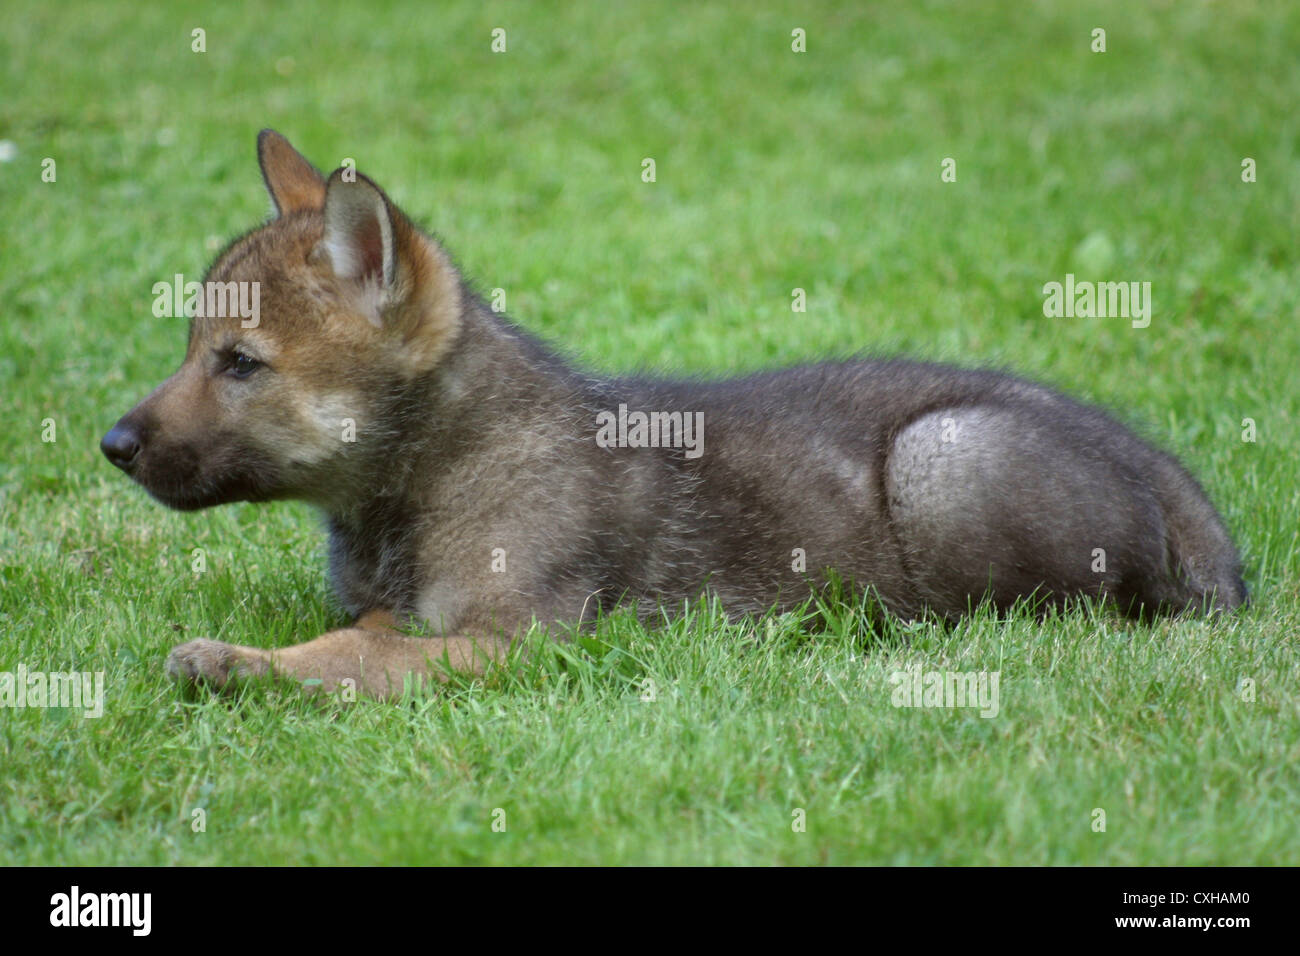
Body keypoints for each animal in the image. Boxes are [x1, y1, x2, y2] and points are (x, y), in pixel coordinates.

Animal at [98, 130, 1237, 697]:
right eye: (196, 349)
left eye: (240, 363)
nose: (111, 443)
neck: (427, 476)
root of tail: (1180, 491)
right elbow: (358, 630)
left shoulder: (518, 639)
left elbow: (352, 656)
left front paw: (232, 663)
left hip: (941, 458)